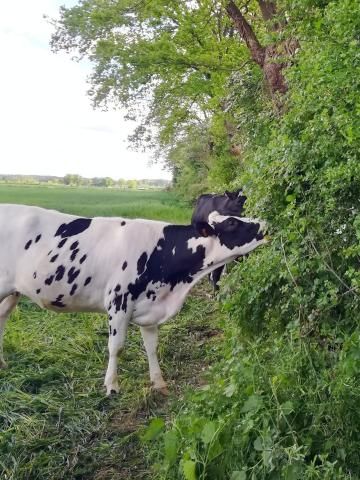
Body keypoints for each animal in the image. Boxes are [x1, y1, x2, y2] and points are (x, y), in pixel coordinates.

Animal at [0, 204, 264, 396]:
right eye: (232, 223)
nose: (264, 223)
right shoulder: (118, 302)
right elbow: (116, 347)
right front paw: (111, 386)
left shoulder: (151, 308)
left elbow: (152, 347)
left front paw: (159, 382)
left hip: (12, 293)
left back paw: (2, 364)